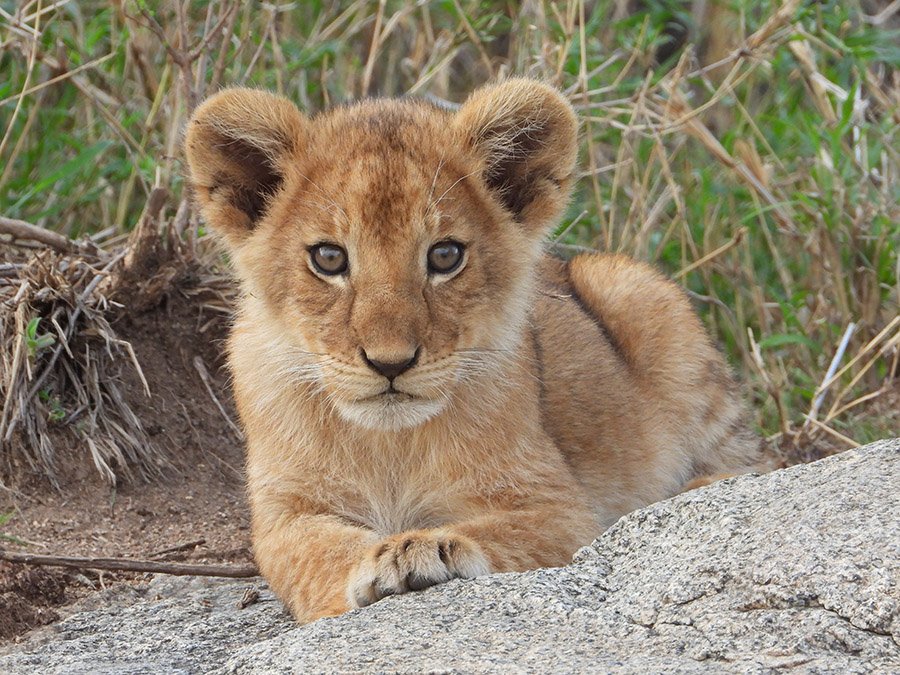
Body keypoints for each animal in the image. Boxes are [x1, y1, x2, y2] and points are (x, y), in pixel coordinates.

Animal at [184, 79, 760, 622]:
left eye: (445, 255)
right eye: (328, 257)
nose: (390, 363)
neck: (388, 447)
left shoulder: (559, 507)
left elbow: (502, 534)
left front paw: (424, 549)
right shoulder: (285, 515)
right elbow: (317, 554)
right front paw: (373, 563)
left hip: (639, 293)